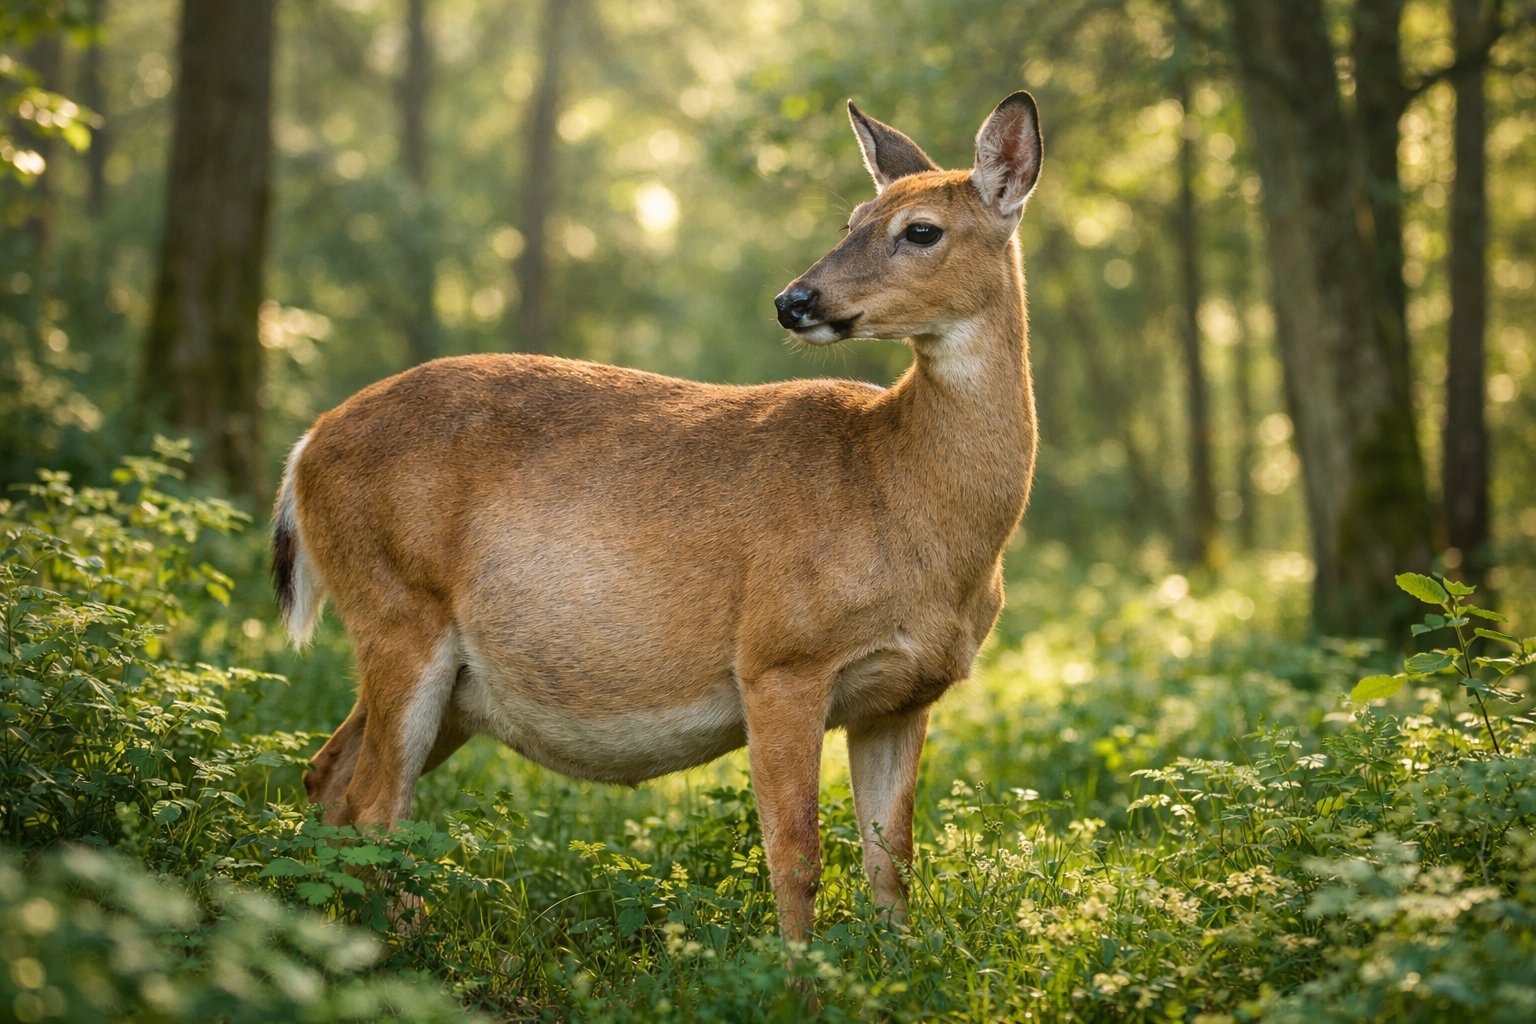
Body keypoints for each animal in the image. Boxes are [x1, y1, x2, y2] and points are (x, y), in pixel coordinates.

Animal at [272, 91, 1042, 946]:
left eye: (921, 230)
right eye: (852, 218)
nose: (793, 300)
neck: (908, 500)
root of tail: (304, 448)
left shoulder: (905, 695)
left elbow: (892, 864)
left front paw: (892, 965)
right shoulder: (779, 655)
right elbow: (797, 854)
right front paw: (800, 969)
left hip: (452, 679)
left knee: (328, 775)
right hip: (397, 606)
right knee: (377, 801)